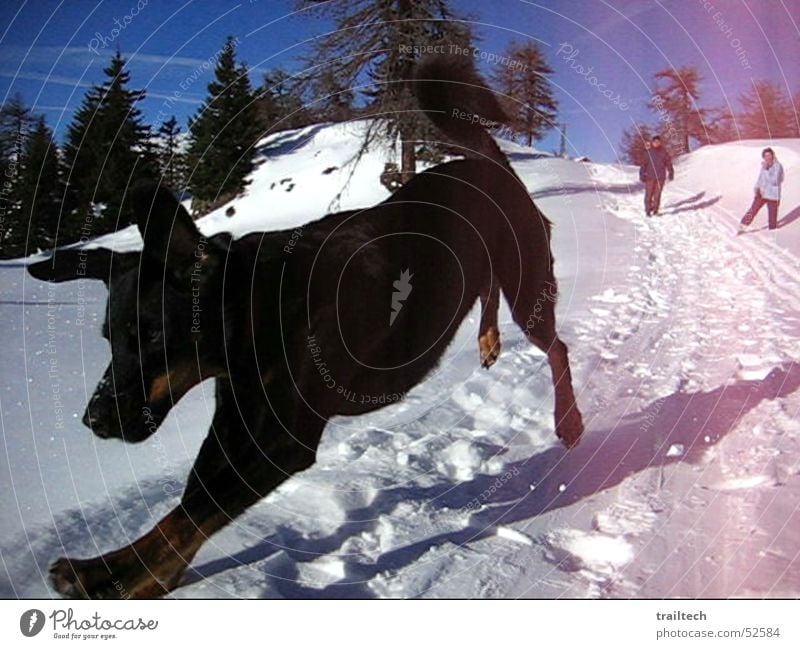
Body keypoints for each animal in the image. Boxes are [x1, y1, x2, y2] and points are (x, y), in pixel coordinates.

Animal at [29, 55, 580, 596]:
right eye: (108, 338)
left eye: (154, 336)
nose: (93, 420)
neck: (252, 319)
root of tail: (490, 164)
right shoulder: (236, 417)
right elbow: (190, 502)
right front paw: (127, 574)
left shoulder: (281, 440)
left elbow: (196, 511)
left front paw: (111, 578)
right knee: (490, 293)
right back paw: (488, 340)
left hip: (528, 279)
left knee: (557, 346)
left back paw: (569, 419)